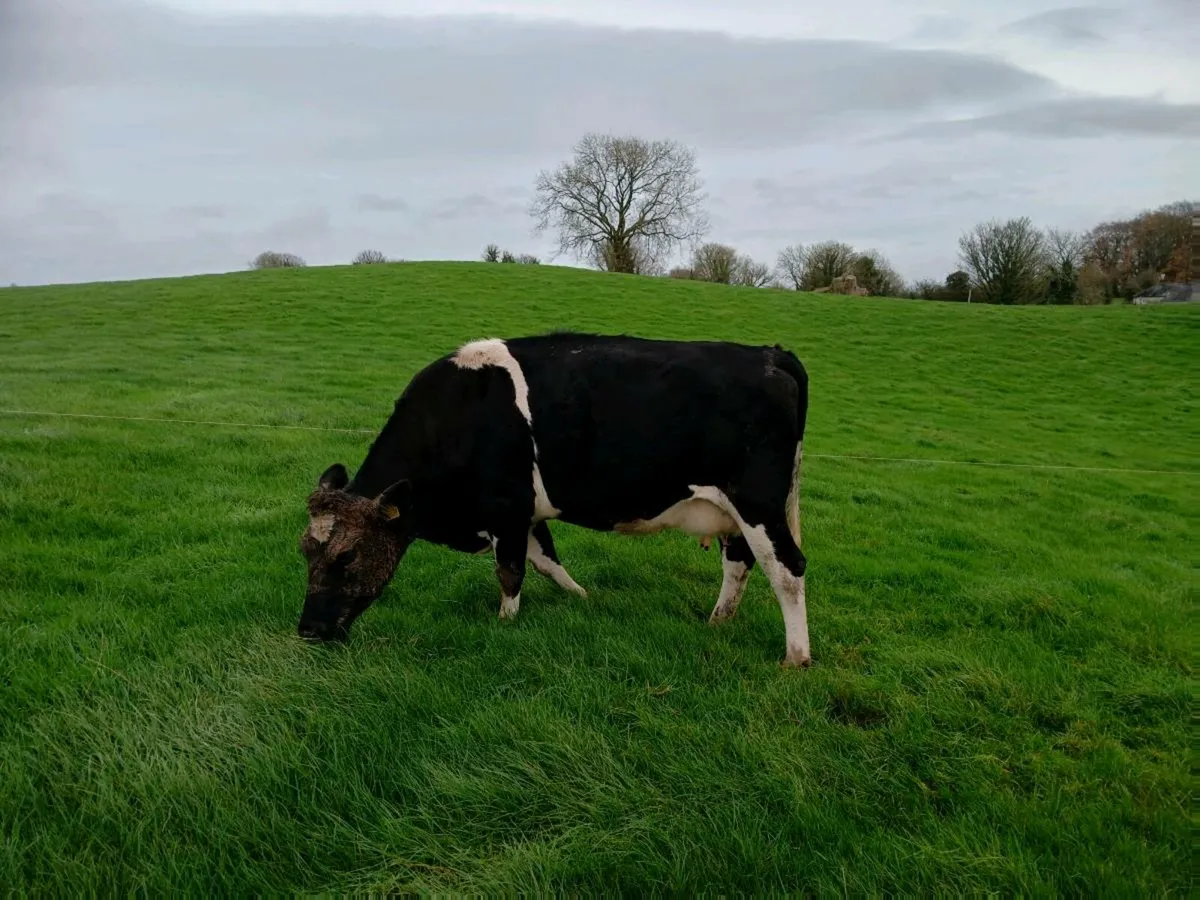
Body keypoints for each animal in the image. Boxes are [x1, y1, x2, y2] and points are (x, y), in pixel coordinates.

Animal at [297, 332, 812, 667]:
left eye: (347, 556)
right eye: (304, 552)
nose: (308, 631)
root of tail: (771, 354)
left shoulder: (506, 507)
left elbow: (511, 572)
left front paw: (505, 624)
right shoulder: (525, 513)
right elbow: (546, 561)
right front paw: (583, 598)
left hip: (757, 503)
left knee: (787, 568)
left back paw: (796, 656)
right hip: (735, 512)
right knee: (741, 563)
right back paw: (718, 622)